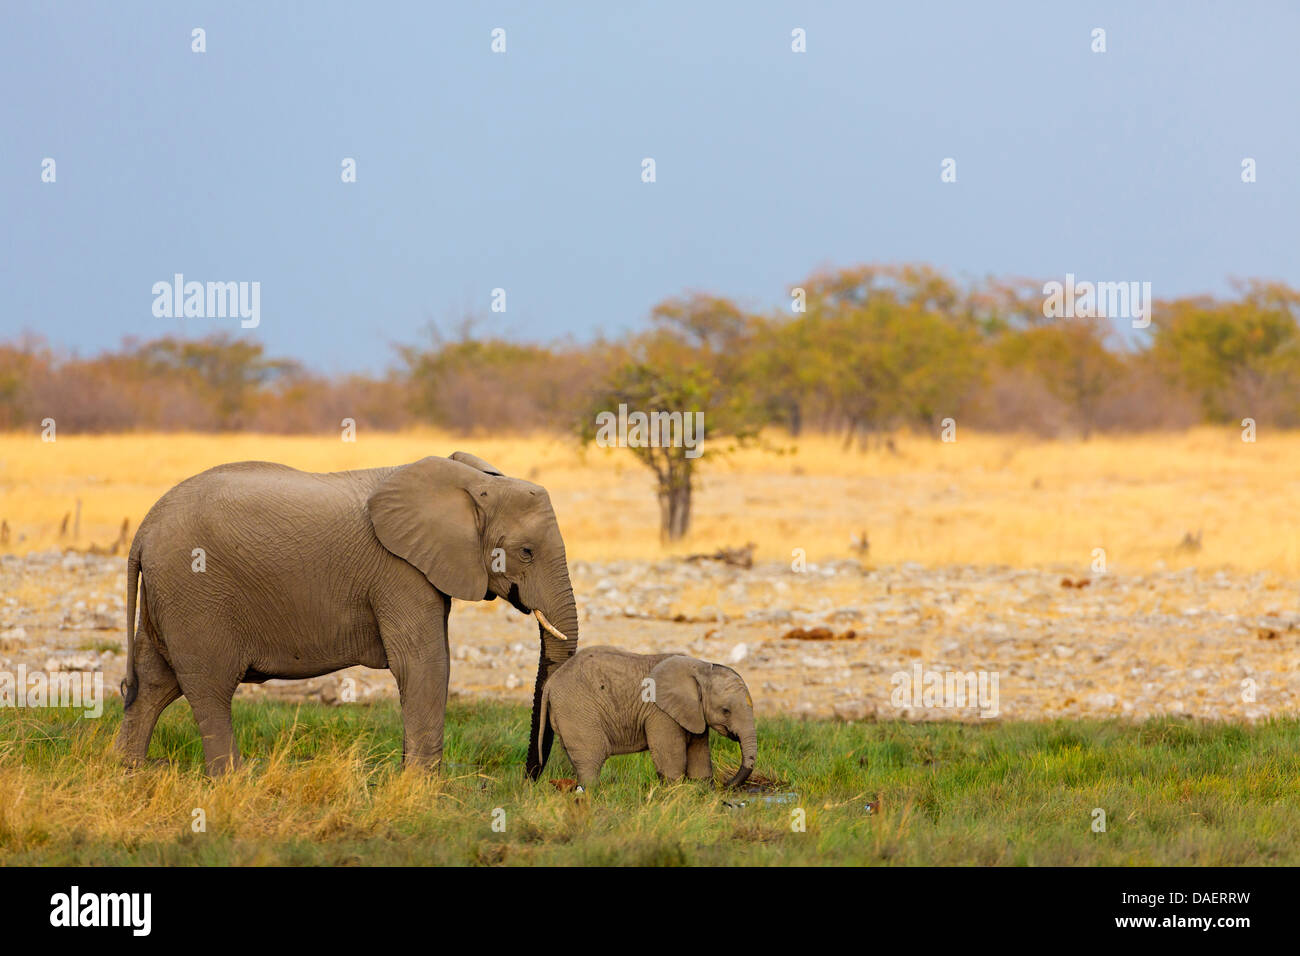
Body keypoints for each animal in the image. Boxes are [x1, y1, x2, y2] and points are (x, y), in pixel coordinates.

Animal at [114, 455, 582, 780]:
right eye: (526, 552)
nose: (530, 776)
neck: (472, 482)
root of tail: (143, 529)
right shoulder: (398, 571)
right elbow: (424, 664)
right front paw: (423, 788)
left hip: (171, 596)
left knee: (154, 682)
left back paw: (128, 773)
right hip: (194, 593)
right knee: (208, 686)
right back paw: (232, 781)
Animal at [540, 647, 759, 790]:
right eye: (726, 711)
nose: (726, 784)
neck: (701, 668)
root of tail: (550, 683)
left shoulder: (694, 713)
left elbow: (699, 755)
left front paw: (702, 791)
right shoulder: (660, 712)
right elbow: (671, 756)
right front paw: (674, 793)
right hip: (577, 709)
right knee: (593, 754)